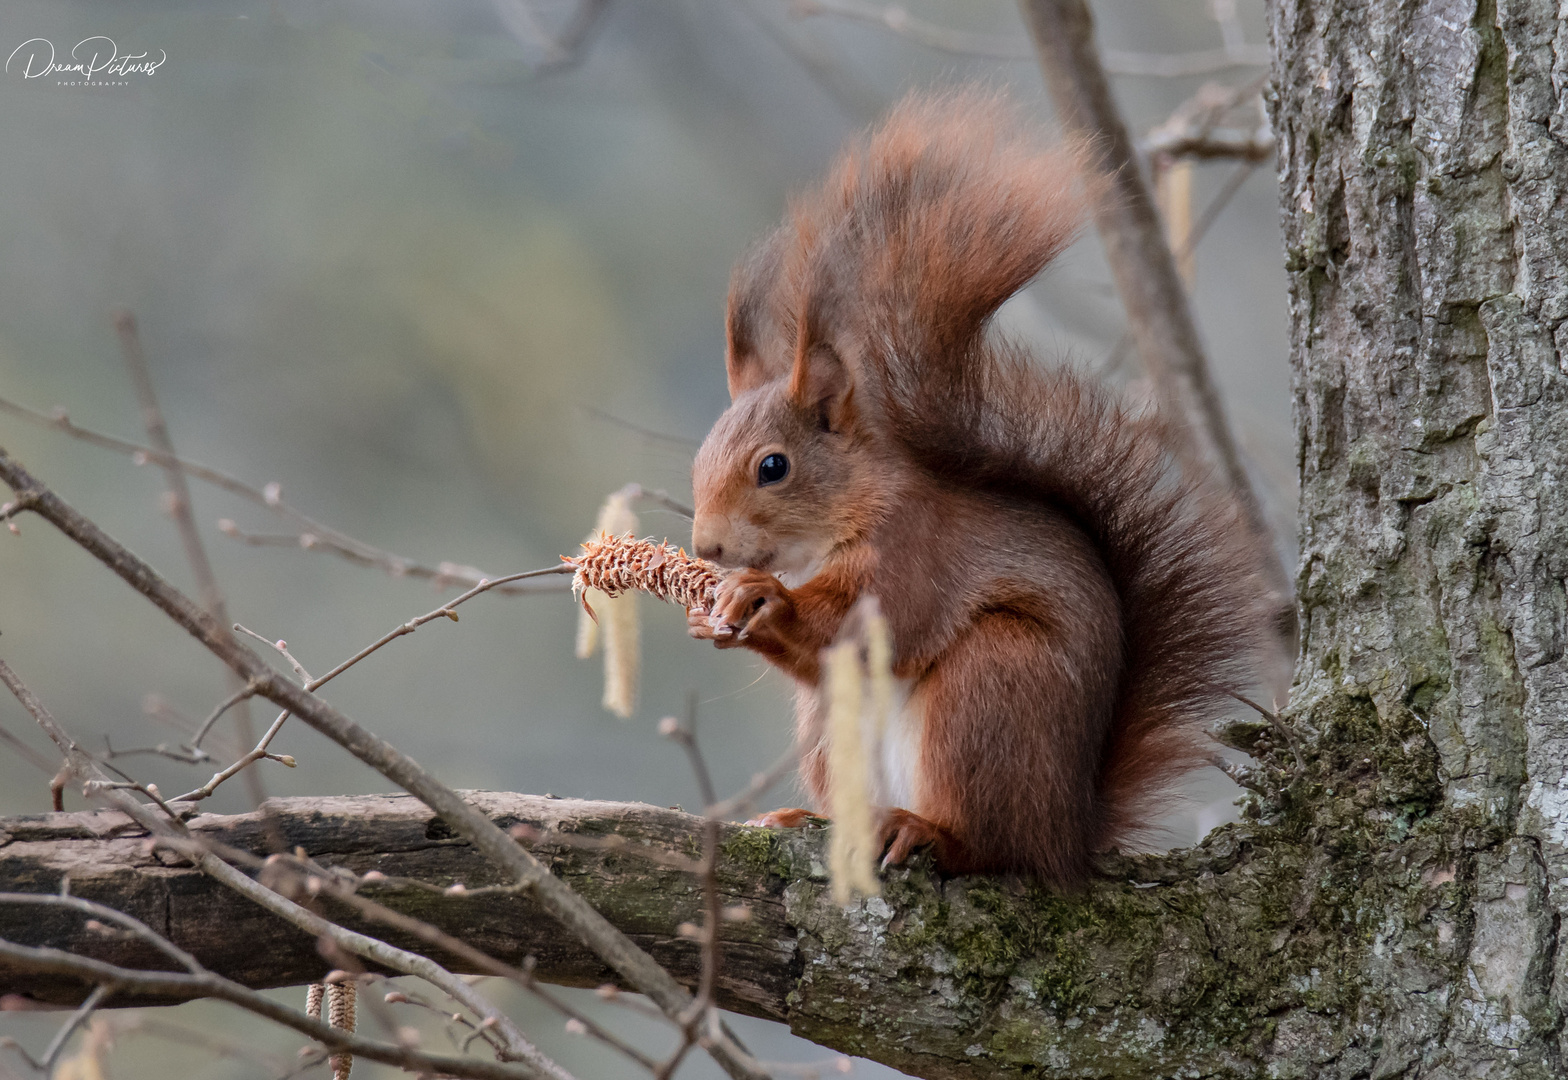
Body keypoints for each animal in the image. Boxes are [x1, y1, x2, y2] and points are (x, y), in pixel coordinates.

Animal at [689, 90, 1273, 884]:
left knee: (990, 845)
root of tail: (1068, 835)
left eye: (772, 466)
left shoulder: (917, 549)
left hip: (994, 686)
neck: (838, 521)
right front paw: (714, 612)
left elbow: (871, 627)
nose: (706, 548)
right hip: (831, 732)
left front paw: (761, 598)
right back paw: (810, 818)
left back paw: (927, 831)